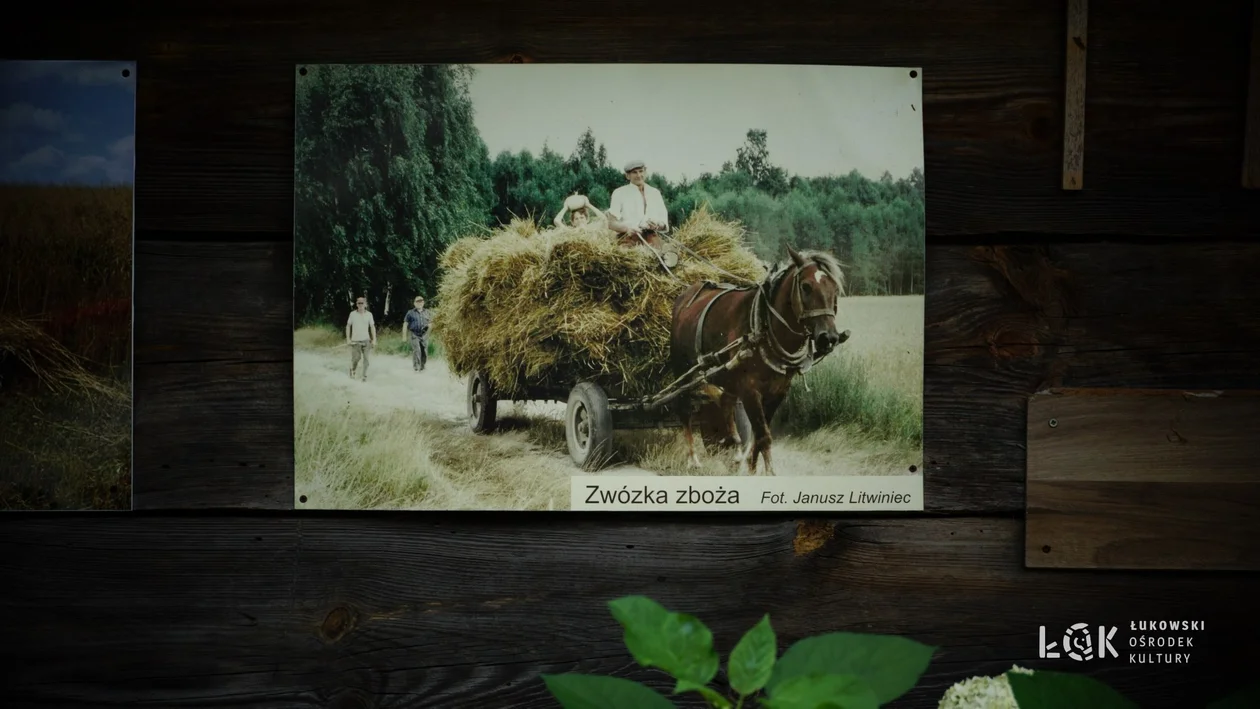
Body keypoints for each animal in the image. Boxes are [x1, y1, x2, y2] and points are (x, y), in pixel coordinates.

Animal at [665, 245, 851, 476]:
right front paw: (769, 471)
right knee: (685, 408)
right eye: (806, 287)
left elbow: (758, 436)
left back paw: (735, 446)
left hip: (726, 373)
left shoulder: (778, 391)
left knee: (725, 402)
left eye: (835, 289)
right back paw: (693, 459)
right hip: (683, 370)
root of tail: (686, 294)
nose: (829, 337)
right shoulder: (750, 389)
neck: (764, 327)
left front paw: (753, 468)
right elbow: (763, 436)